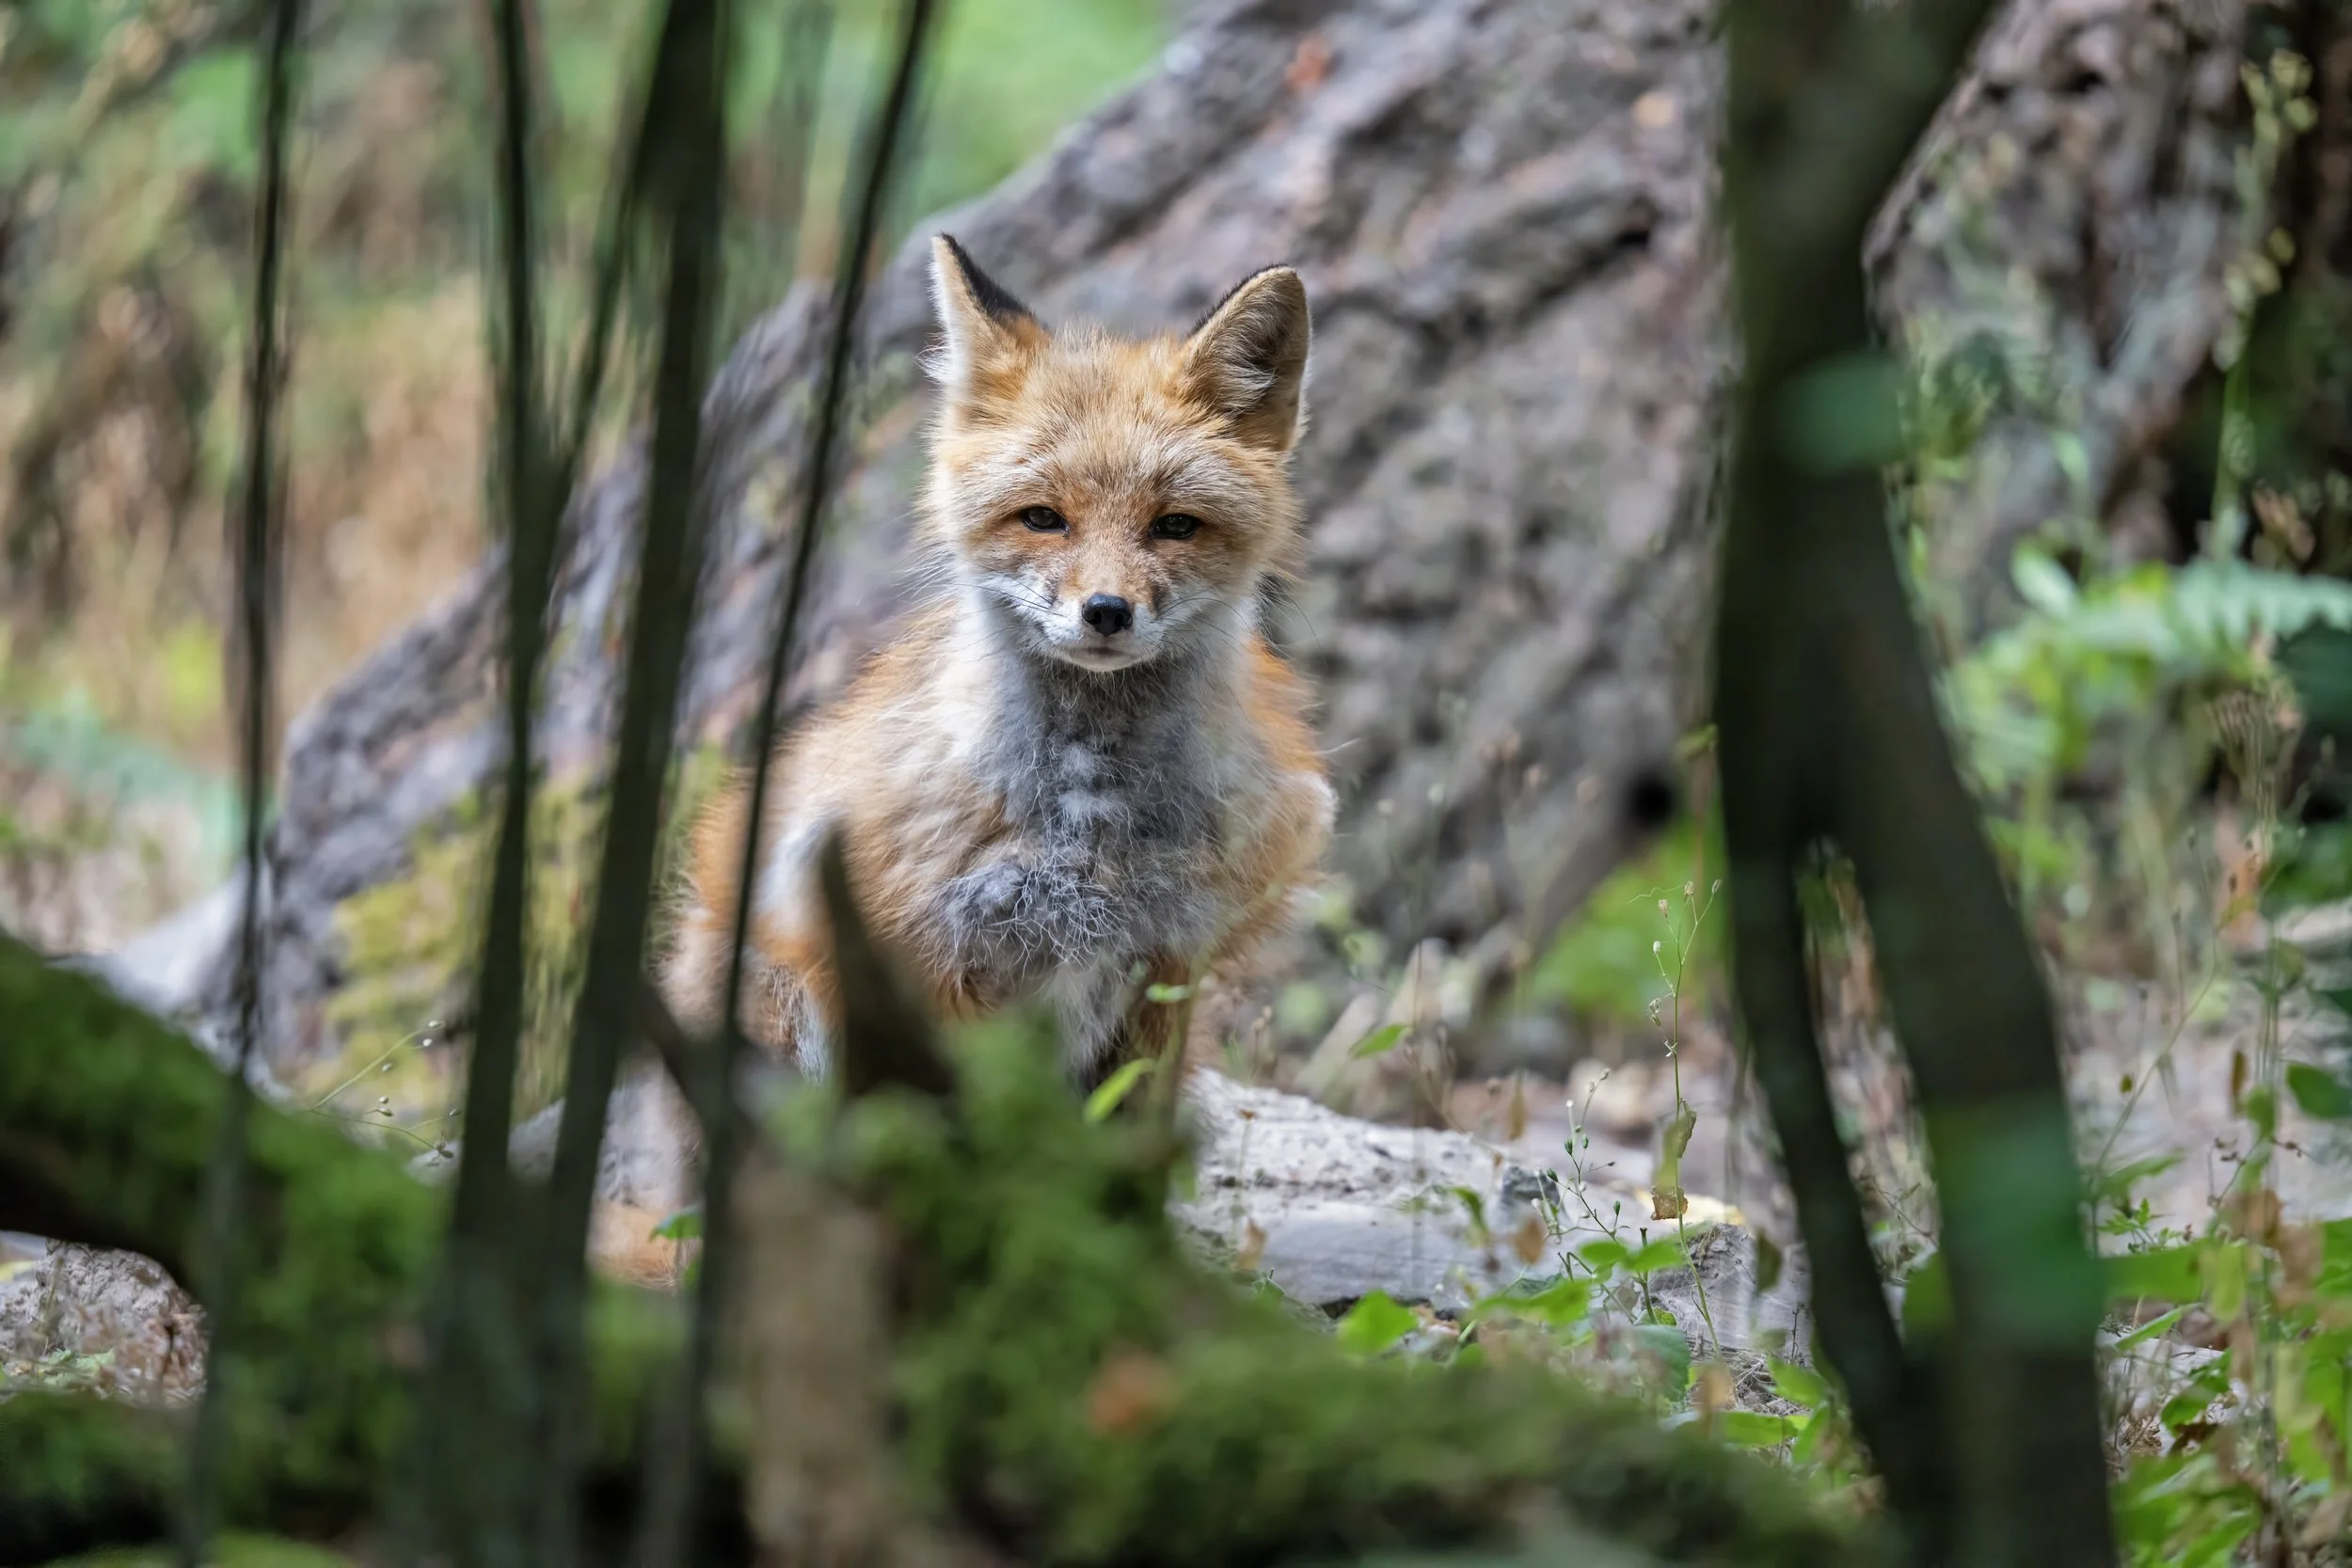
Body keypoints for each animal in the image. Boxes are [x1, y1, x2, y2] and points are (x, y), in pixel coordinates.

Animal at [659, 235, 1334, 1091]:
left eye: (1176, 525)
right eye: (1043, 518)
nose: (1106, 611)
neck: (1090, 819)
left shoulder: (1170, 961)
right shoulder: (919, 957)